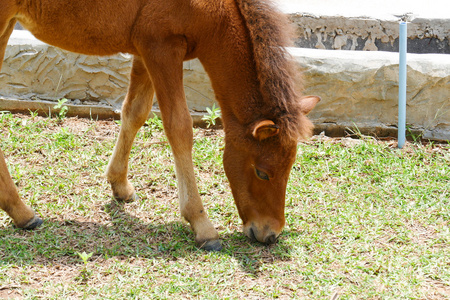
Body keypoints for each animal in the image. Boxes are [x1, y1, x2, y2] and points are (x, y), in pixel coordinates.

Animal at [0, 0, 318, 251]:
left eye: (290, 167)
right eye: (262, 173)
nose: (270, 233)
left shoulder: (144, 49)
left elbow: (135, 112)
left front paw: (119, 184)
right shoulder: (163, 48)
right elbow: (179, 128)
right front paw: (202, 225)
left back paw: (20, 214)